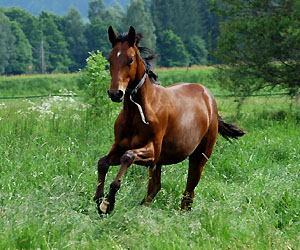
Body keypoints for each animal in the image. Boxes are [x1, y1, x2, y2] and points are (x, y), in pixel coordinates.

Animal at [94, 25, 246, 215]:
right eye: (110, 59)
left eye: (130, 59)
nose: (116, 93)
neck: (138, 112)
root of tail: (209, 98)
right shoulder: (121, 146)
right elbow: (103, 162)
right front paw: (99, 199)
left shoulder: (152, 152)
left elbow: (128, 157)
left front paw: (109, 200)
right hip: (161, 164)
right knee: (156, 187)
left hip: (199, 158)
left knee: (188, 193)